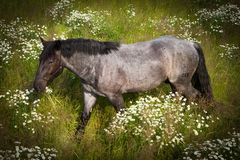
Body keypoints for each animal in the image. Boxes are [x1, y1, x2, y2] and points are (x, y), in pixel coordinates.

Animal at [32, 35, 213, 133]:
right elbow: (83, 121)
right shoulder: (90, 95)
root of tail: (191, 44)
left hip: (182, 84)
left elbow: (122, 120)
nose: (37, 86)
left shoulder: (115, 96)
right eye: (40, 58)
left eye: (51, 61)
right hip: (175, 85)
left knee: (198, 98)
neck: (96, 64)